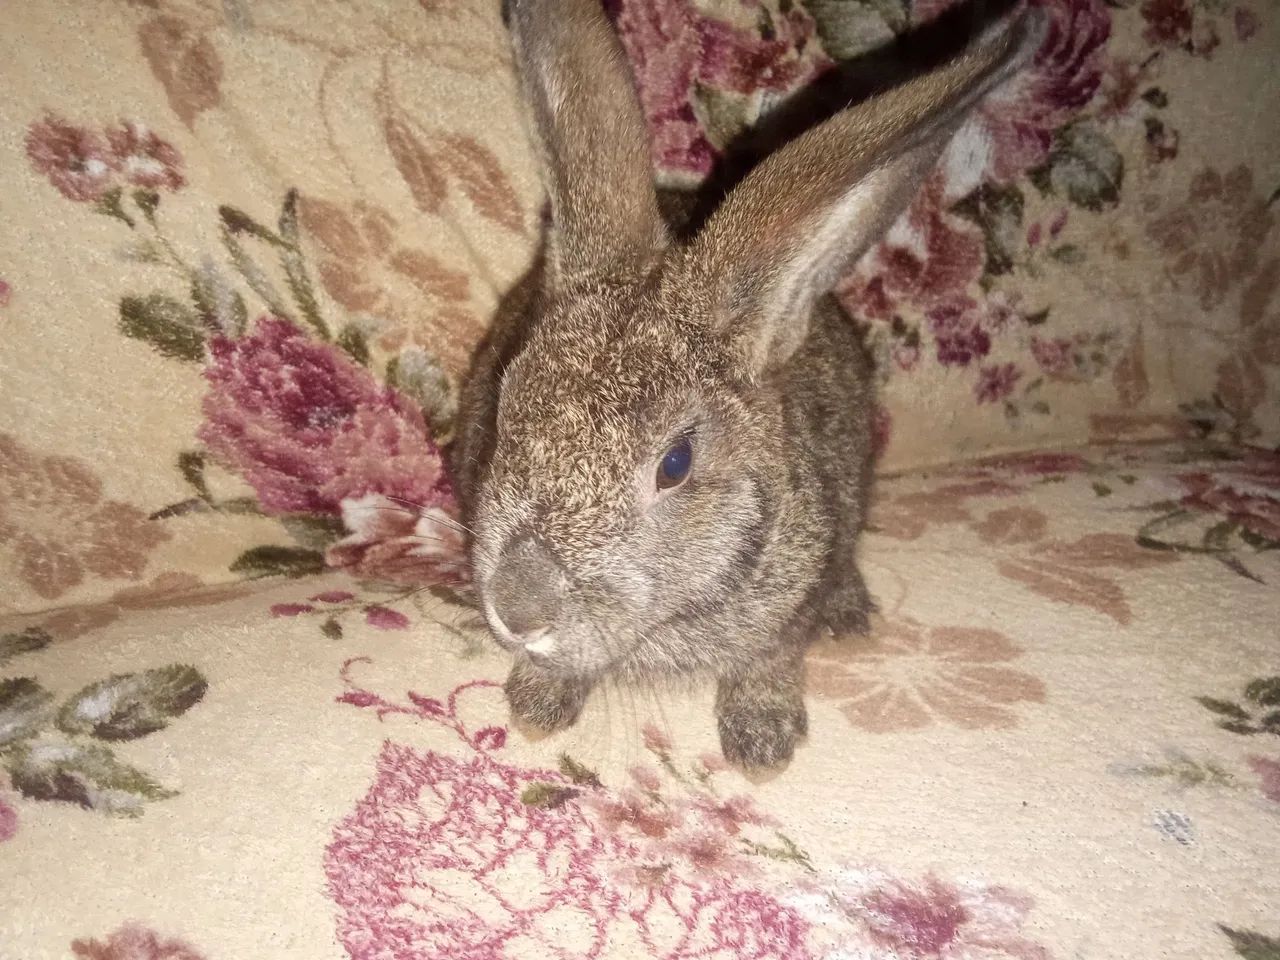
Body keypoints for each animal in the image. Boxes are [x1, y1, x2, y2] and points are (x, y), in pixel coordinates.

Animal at [453, 0, 1046, 769]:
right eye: (505, 409)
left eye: (675, 464)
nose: (518, 607)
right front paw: (535, 705)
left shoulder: (788, 608)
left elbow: (770, 661)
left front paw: (762, 742)